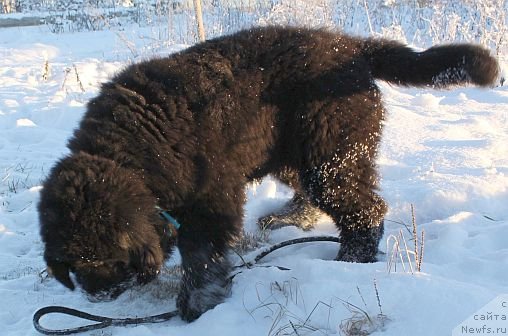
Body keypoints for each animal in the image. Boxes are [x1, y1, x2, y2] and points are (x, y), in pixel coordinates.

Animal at [37, 25, 498, 320]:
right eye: (74, 259)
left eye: (105, 255)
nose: (100, 296)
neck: (132, 150)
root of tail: (349, 48)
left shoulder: (212, 197)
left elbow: (201, 254)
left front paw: (197, 303)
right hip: (296, 152)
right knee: (314, 194)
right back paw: (290, 218)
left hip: (330, 149)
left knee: (363, 208)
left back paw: (351, 257)